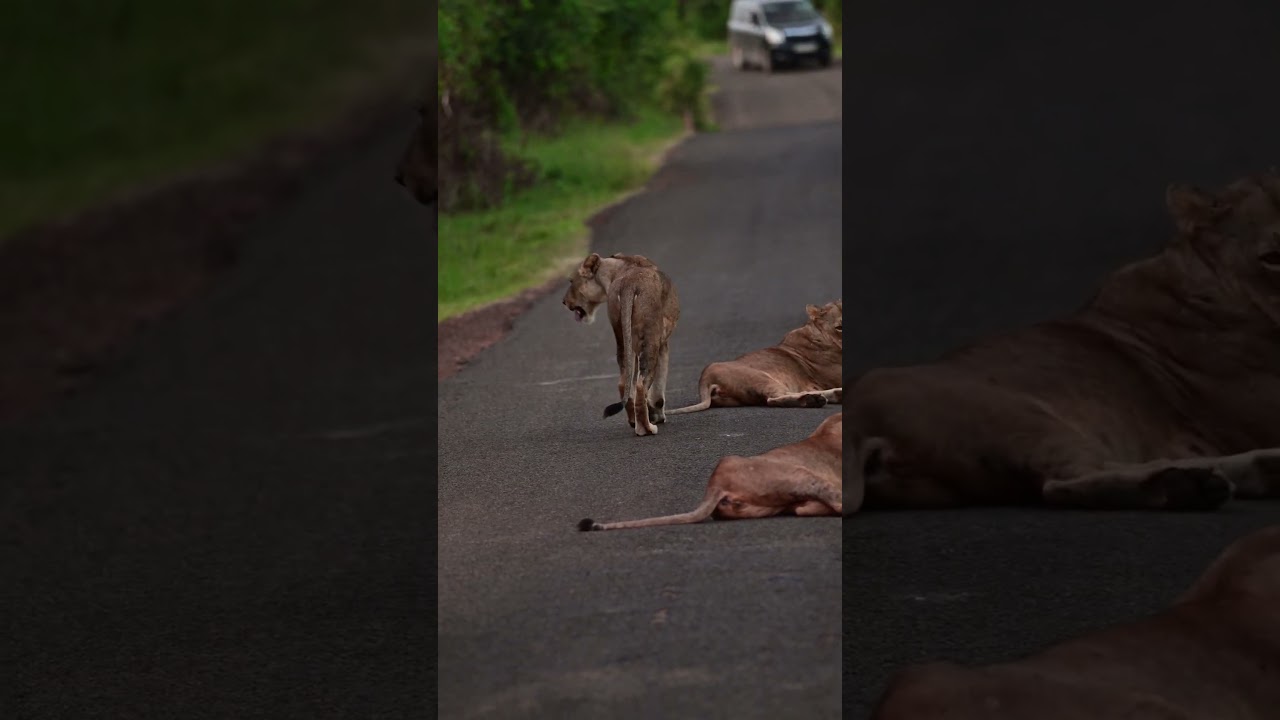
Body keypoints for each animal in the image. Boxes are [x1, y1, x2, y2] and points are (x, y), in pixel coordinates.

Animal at [562, 252, 680, 436]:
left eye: (571, 281)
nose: (564, 301)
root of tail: (628, 285)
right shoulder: (663, 344)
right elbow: (658, 390)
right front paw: (659, 416)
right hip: (651, 340)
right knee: (640, 385)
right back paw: (646, 428)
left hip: (622, 338)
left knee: (624, 383)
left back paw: (633, 421)